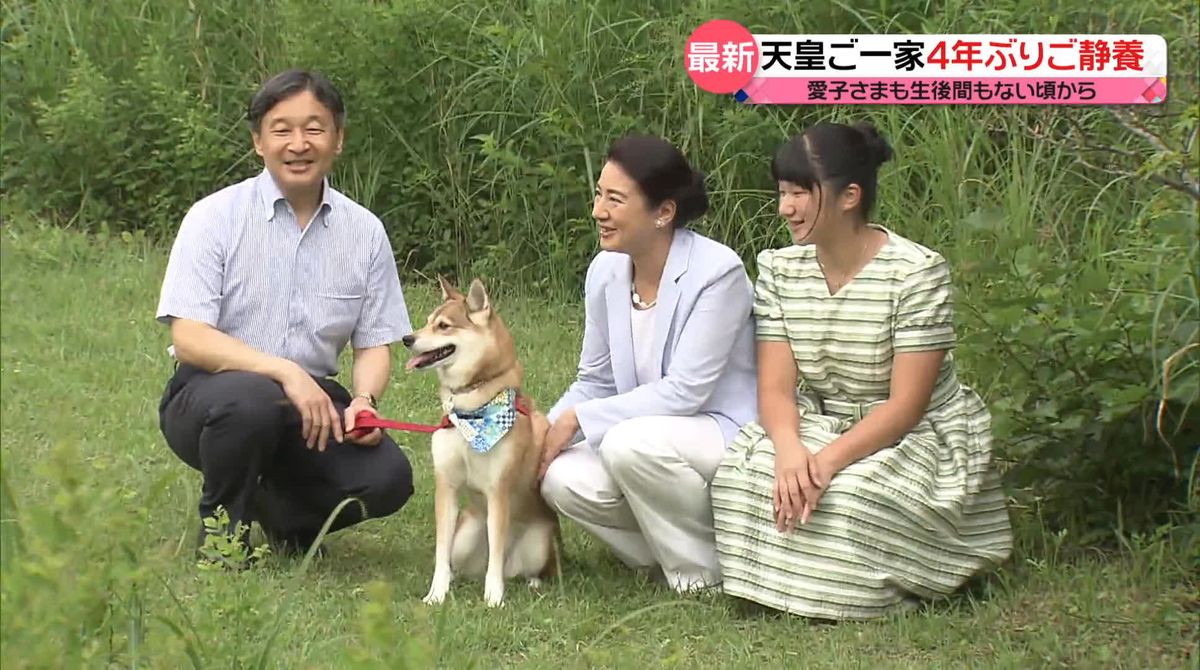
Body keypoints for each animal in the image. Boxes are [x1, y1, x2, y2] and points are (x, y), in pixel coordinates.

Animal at [398, 277, 556, 609]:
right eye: (428, 321)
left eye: (443, 326)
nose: (407, 338)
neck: (471, 414)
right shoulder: (446, 486)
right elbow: (441, 553)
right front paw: (437, 593)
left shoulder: (498, 491)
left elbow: (495, 552)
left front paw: (494, 596)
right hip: (466, 536)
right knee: (461, 561)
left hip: (539, 542)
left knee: (525, 568)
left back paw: (531, 582)